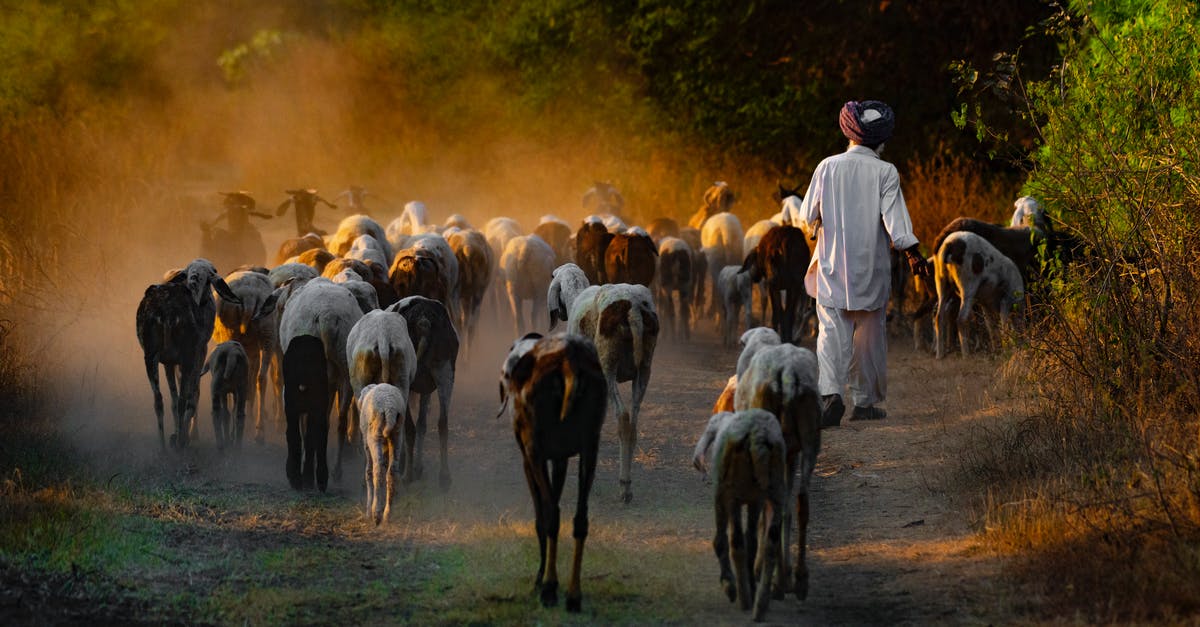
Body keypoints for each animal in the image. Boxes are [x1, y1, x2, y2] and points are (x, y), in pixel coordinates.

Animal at [696, 408, 787, 614]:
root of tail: (758, 436)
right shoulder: (756, 501)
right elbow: (751, 541)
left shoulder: (724, 496)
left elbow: (722, 540)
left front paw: (729, 583)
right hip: (773, 489)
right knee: (770, 540)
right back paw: (760, 602)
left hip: (732, 493)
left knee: (735, 541)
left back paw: (742, 596)